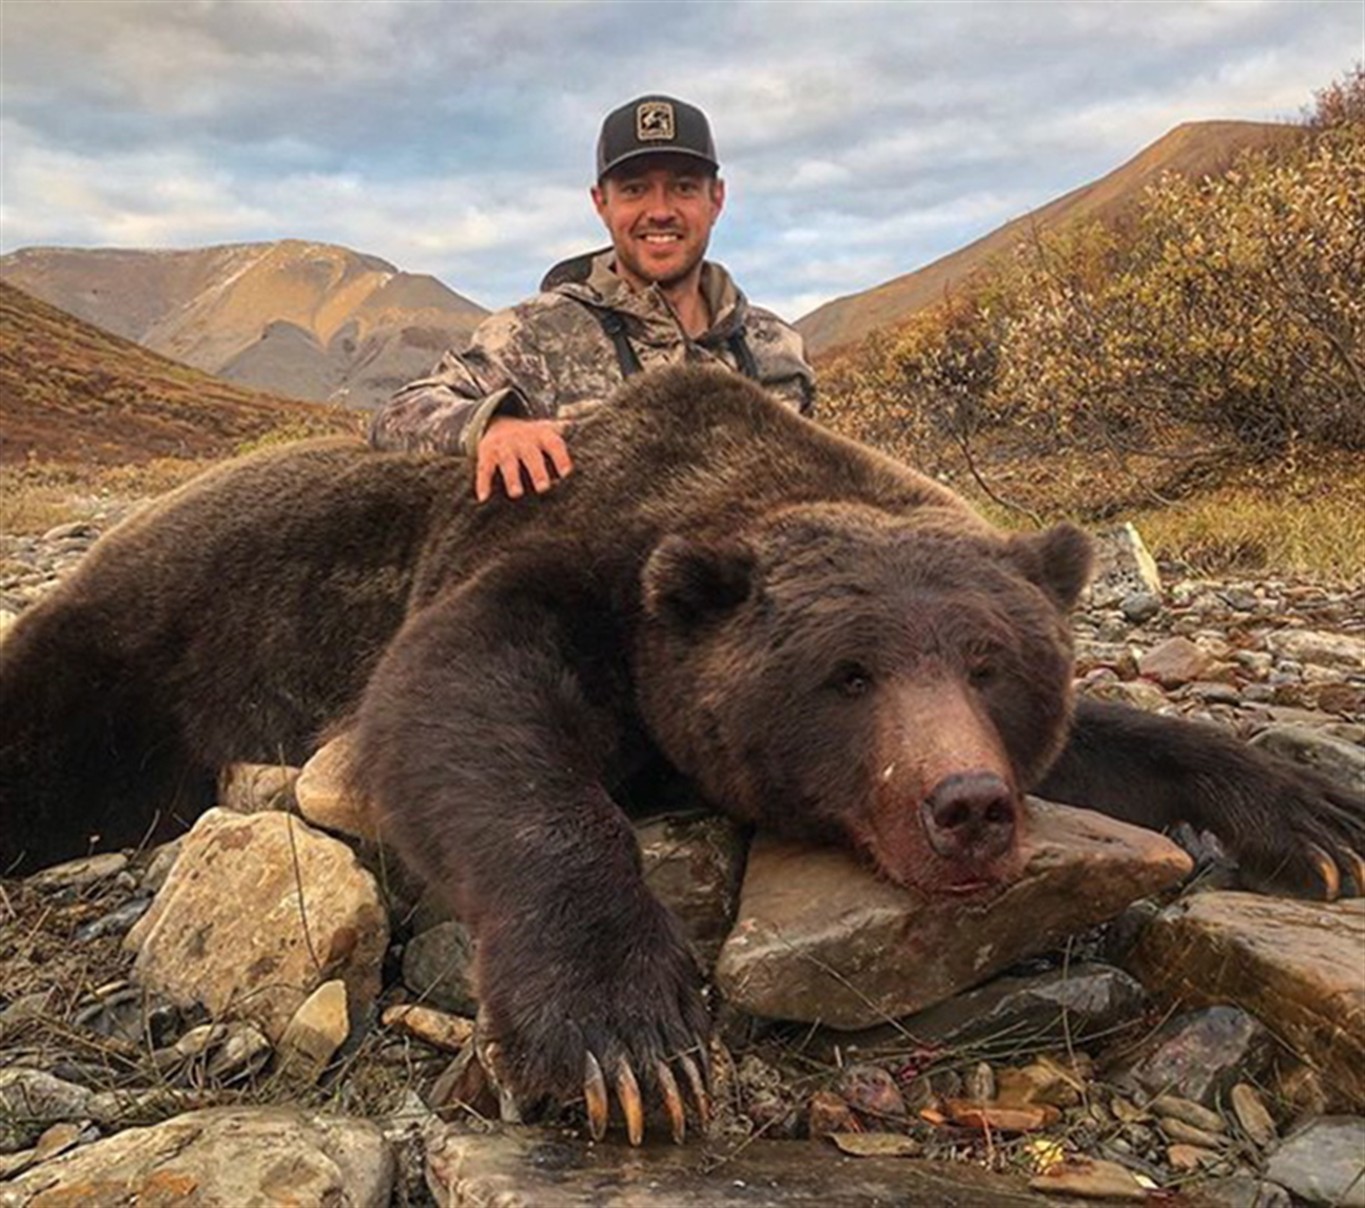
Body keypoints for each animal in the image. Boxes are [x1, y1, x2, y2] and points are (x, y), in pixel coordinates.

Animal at [2, 365, 1365, 1141]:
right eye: (848, 672)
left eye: (990, 663)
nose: (967, 804)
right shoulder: (547, 562)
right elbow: (457, 715)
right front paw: (624, 1035)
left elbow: (1119, 742)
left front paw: (1312, 812)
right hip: (128, 654)